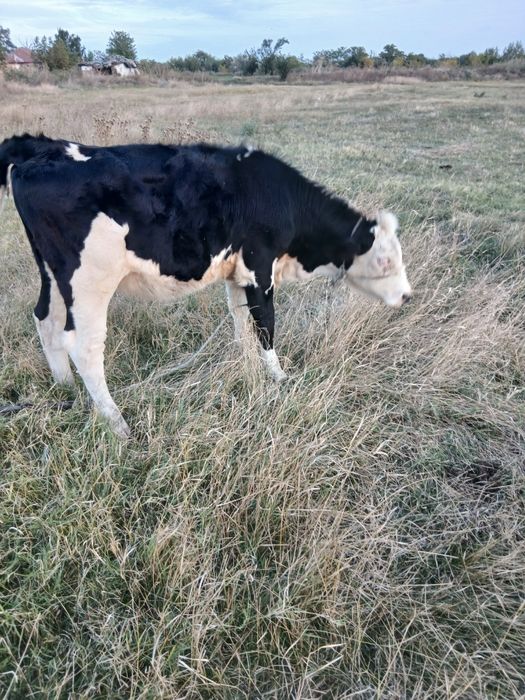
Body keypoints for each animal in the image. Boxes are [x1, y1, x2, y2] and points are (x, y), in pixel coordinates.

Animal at [5, 138, 412, 437]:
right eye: (386, 261)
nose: (408, 296)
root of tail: (41, 152)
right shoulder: (260, 268)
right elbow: (266, 326)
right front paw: (279, 377)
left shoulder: (238, 274)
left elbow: (240, 323)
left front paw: (247, 365)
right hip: (89, 281)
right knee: (83, 346)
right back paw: (117, 424)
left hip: (53, 275)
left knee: (45, 320)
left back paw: (66, 389)